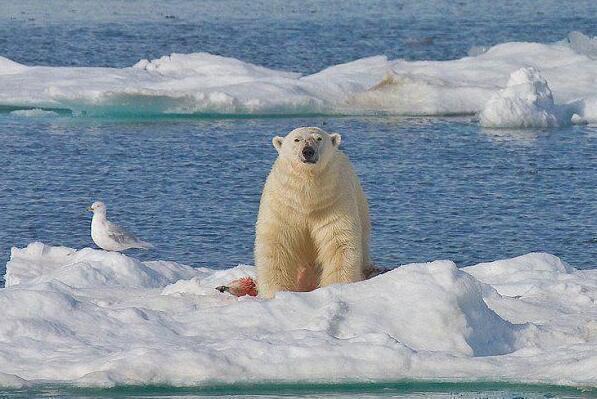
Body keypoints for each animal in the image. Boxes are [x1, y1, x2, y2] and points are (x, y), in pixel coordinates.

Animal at [255, 126, 370, 298]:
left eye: (318, 138)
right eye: (297, 139)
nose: (307, 151)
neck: (307, 198)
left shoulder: (334, 202)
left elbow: (338, 243)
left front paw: (337, 285)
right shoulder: (283, 205)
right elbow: (276, 244)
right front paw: (275, 292)